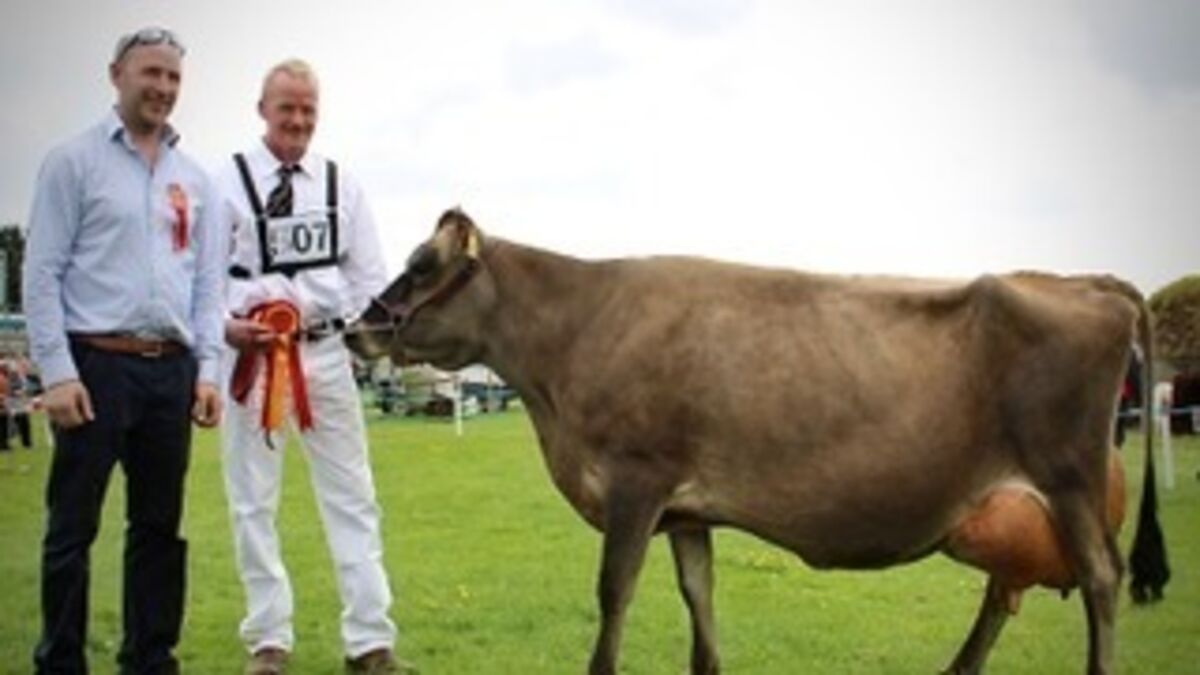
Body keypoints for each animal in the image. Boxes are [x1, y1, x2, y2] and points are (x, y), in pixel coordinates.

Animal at [345, 208, 1169, 674]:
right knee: (1008, 589)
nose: (356, 328)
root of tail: (1082, 281)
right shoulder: (687, 510)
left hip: (1068, 478)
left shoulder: (636, 482)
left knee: (1101, 579)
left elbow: (614, 593)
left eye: (423, 264)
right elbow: (698, 602)